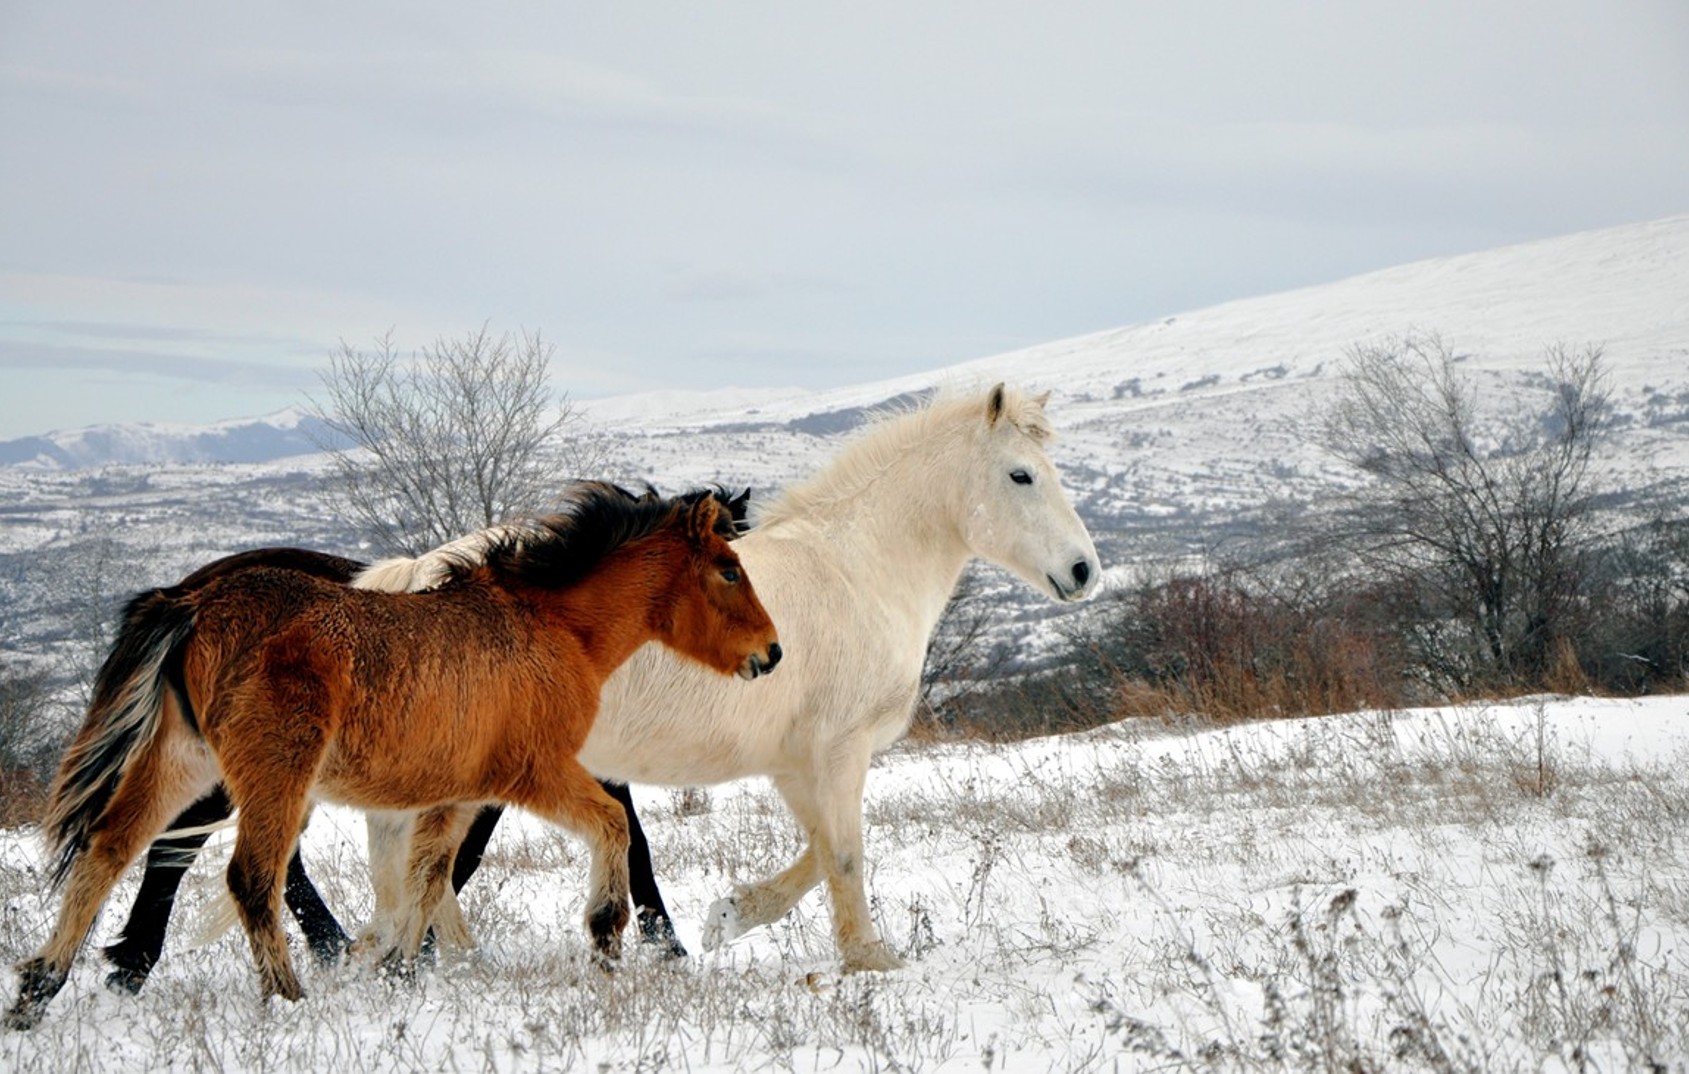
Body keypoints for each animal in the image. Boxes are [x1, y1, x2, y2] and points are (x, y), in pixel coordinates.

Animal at [5, 484, 781, 1030]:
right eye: (728, 570)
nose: (770, 653)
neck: (550, 625)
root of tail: (189, 600)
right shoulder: (537, 773)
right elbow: (615, 833)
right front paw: (608, 936)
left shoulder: (458, 793)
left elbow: (428, 876)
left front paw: (400, 972)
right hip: (273, 771)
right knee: (249, 874)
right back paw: (286, 997)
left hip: (185, 761)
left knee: (112, 848)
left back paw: (42, 989)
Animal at [359, 383, 1098, 972]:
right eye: (1021, 476)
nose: (1084, 570)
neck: (855, 572)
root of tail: (411, 579)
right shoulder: (840, 750)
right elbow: (845, 854)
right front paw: (869, 959)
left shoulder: (798, 762)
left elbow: (819, 852)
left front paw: (730, 915)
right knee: (429, 866)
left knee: (418, 866)